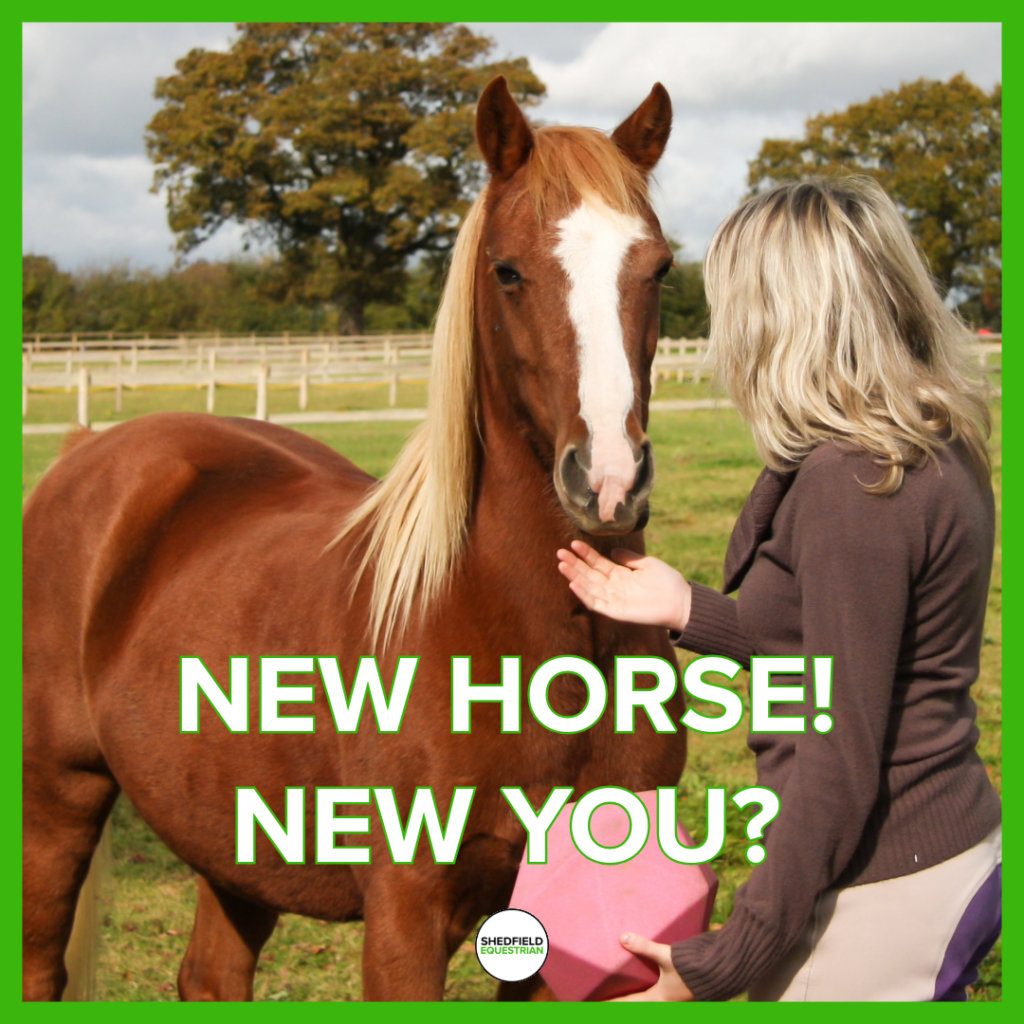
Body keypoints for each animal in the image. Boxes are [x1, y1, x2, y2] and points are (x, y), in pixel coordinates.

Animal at [19, 77, 684, 999]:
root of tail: (87, 450)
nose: (610, 481)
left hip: (229, 841)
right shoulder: (405, 922)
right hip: (57, 801)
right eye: (508, 271)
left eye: (658, 269)